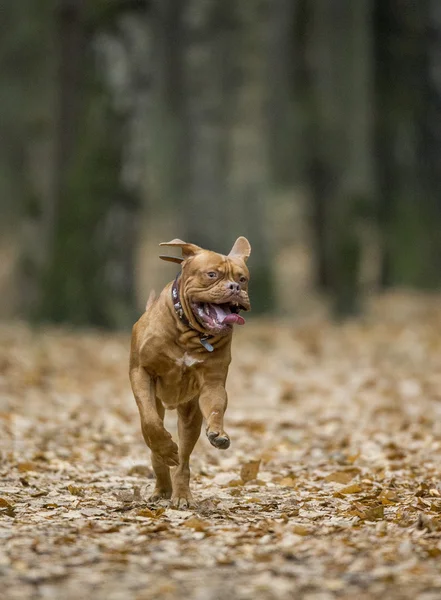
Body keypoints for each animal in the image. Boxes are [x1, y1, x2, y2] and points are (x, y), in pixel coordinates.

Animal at [128, 236, 251, 506]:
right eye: (212, 274)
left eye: (242, 278)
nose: (234, 288)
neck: (189, 332)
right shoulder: (141, 373)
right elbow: (150, 422)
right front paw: (163, 446)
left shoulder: (212, 384)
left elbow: (215, 408)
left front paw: (218, 432)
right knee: (156, 447)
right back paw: (162, 485)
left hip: (189, 416)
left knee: (183, 460)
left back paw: (181, 494)